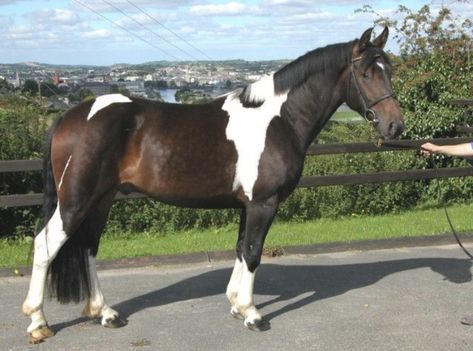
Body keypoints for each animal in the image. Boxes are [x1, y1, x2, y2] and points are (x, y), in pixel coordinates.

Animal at [24, 28, 402, 342]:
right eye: (366, 74)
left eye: (390, 70)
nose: (395, 126)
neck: (279, 119)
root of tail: (71, 115)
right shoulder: (263, 203)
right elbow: (254, 251)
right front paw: (252, 314)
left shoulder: (247, 205)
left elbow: (241, 248)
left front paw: (236, 304)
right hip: (76, 200)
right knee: (45, 244)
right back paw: (38, 322)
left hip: (101, 200)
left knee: (88, 247)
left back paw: (105, 313)